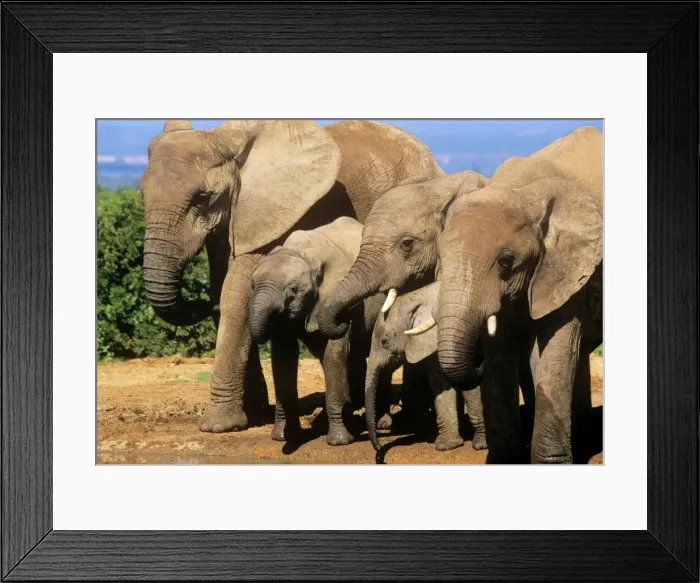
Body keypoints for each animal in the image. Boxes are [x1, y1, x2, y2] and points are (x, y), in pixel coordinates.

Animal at [247, 217, 389, 445]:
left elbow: (334, 353)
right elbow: (283, 357)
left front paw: (339, 442)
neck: (303, 253)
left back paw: (381, 423)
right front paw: (283, 437)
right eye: (252, 285)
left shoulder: (338, 297)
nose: (345, 322)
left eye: (293, 289)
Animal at [364, 282, 487, 454]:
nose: (379, 447)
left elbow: (470, 383)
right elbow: (439, 382)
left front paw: (482, 445)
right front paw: (447, 446)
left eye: (384, 341)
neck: (418, 297)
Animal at [429, 125, 603, 464]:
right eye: (440, 259)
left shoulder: (567, 268)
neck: (521, 189)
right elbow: (501, 353)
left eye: (507, 261)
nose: (476, 360)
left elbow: (551, 353)